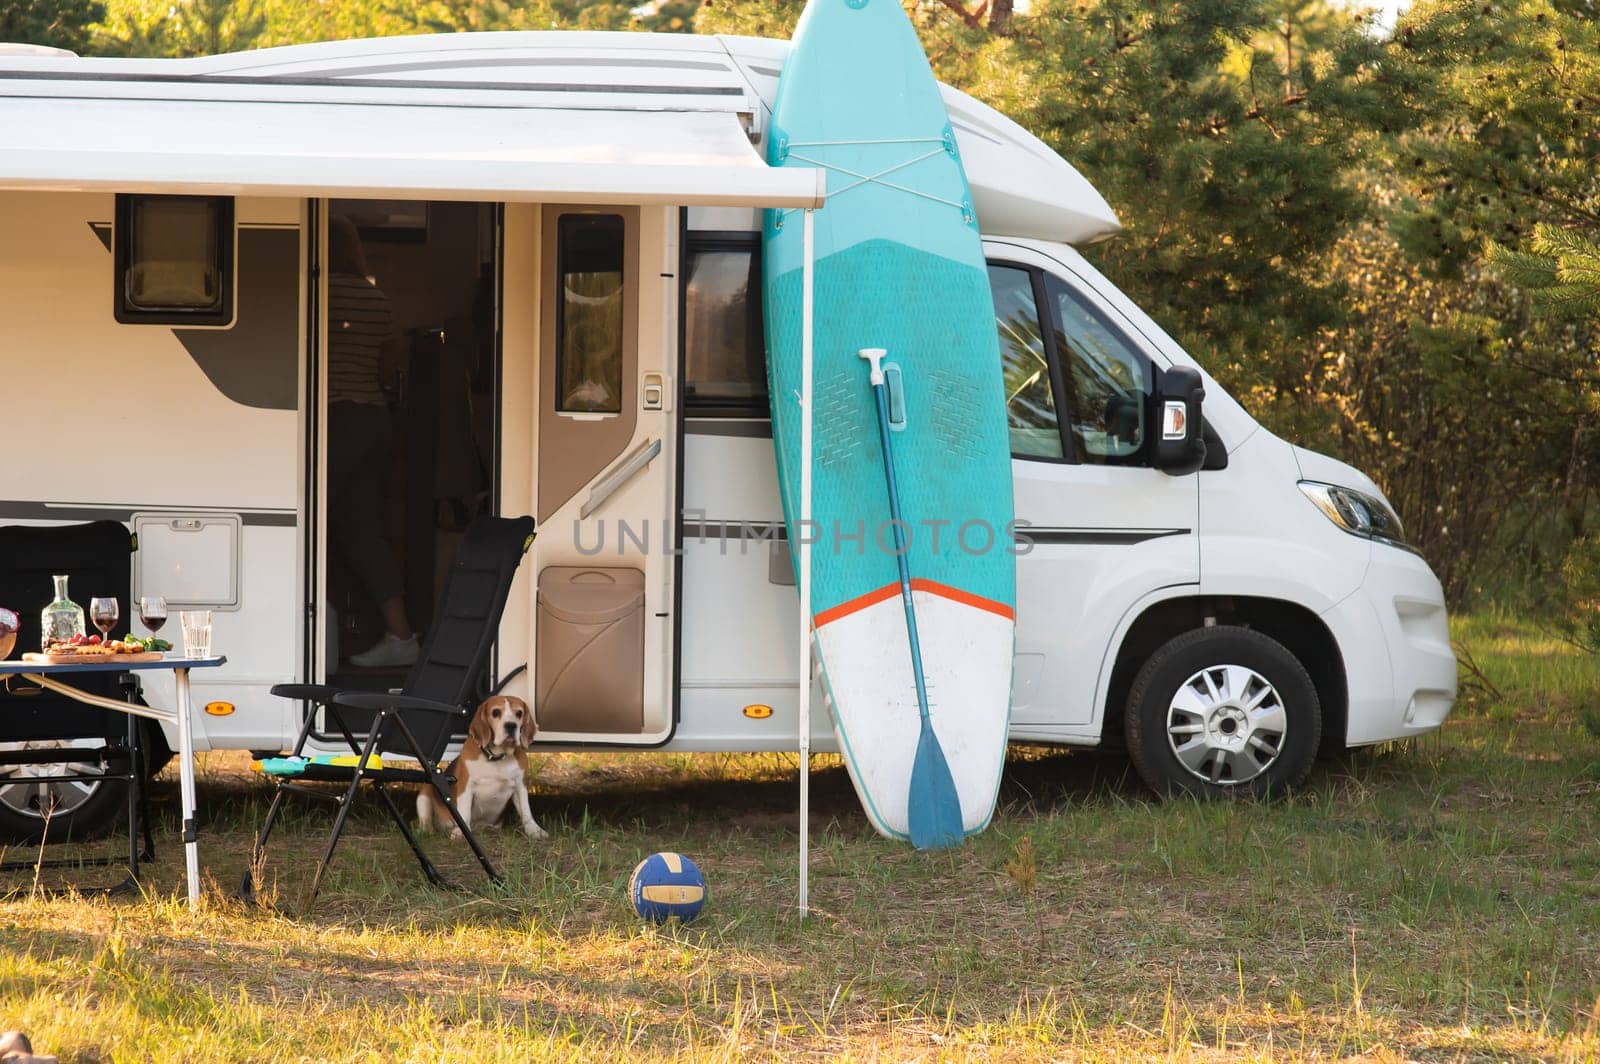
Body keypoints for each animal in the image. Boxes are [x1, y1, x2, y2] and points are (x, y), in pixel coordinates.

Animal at [416, 697, 547, 838]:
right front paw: (461, 832)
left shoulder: (520, 786)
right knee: (425, 822)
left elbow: (526, 810)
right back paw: (428, 831)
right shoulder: (466, 786)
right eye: (495, 712)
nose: (511, 725)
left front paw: (534, 830)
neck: (496, 758)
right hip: (424, 795)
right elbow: (465, 810)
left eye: (519, 713)